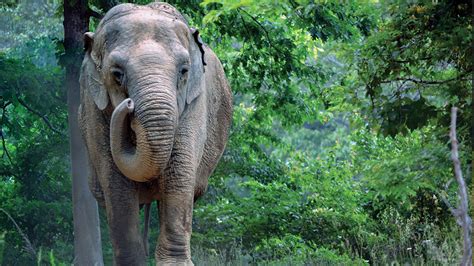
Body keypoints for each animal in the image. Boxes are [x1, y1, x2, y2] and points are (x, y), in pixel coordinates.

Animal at [78, 2, 233, 266]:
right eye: (117, 74)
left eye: (184, 71)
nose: (128, 104)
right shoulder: (93, 106)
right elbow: (115, 182)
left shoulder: (195, 104)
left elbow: (179, 173)